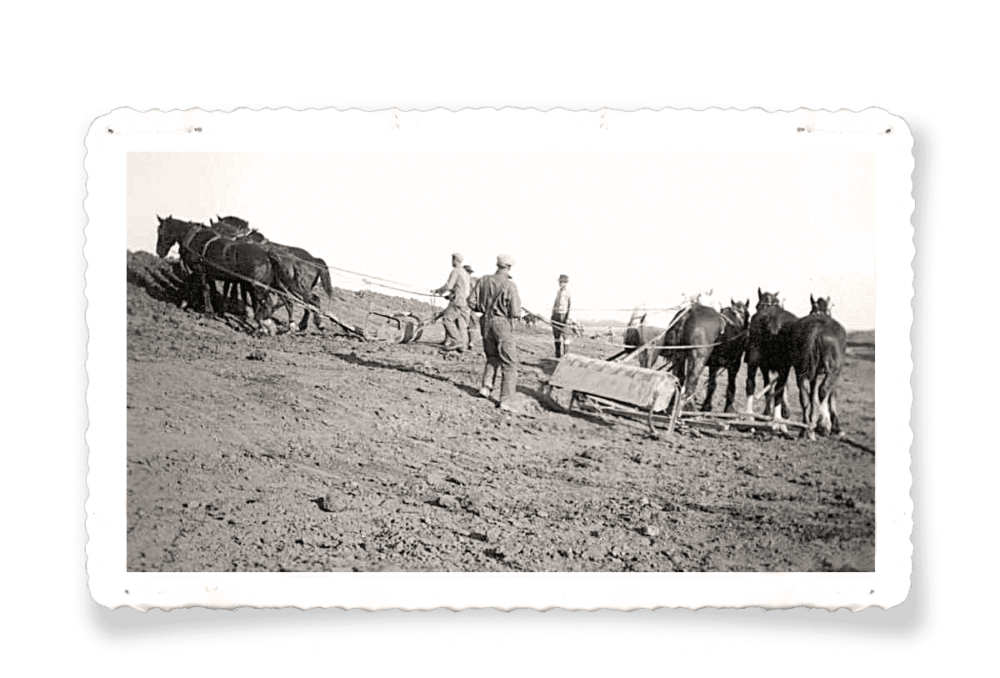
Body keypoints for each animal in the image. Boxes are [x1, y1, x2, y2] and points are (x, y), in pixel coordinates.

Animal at [748, 288, 800, 420]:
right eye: (757, 305)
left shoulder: (766, 366)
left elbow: (770, 386)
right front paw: (783, 411)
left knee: (754, 383)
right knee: (776, 388)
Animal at [772, 296, 844, 440]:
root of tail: (816, 329)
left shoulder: (813, 374)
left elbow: (812, 396)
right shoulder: (832, 372)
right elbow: (831, 394)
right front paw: (835, 427)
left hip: (801, 370)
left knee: (804, 397)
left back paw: (805, 429)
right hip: (833, 370)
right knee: (823, 390)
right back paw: (821, 425)